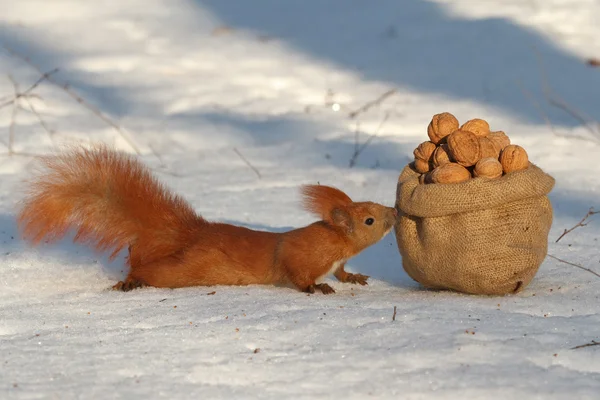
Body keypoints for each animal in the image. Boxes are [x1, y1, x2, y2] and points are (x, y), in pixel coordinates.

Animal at [16, 144, 398, 294]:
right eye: (369, 219)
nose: (394, 212)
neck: (335, 242)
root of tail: (188, 235)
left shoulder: (337, 259)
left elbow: (342, 271)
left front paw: (353, 277)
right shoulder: (303, 254)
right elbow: (296, 272)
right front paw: (316, 288)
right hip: (183, 270)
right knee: (150, 271)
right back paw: (130, 282)